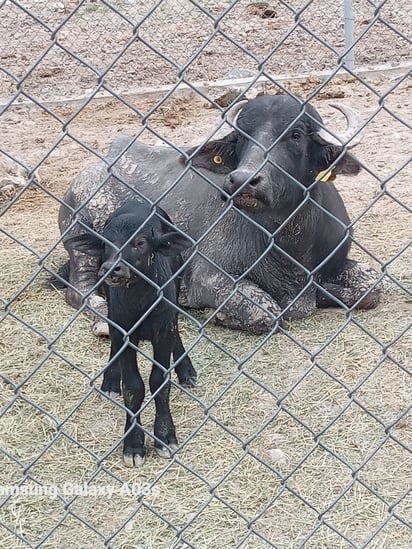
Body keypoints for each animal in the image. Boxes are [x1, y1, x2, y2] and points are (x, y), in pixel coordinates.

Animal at [57, 94, 380, 334]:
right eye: (241, 136)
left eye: (296, 135)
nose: (243, 180)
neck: (287, 241)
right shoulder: (209, 277)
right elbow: (267, 311)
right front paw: (218, 314)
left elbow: (372, 284)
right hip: (83, 242)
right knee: (80, 290)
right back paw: (103, 321)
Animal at [67, 199, 197, 464]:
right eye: (105, 244)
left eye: (140, 243)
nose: (112, 268)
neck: (140, 303)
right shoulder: (123, 331)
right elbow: (133, 387)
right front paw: (134, 444)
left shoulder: (163, 330)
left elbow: (160, 382)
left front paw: (165, 436)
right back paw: (110, 380)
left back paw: (186, 371)